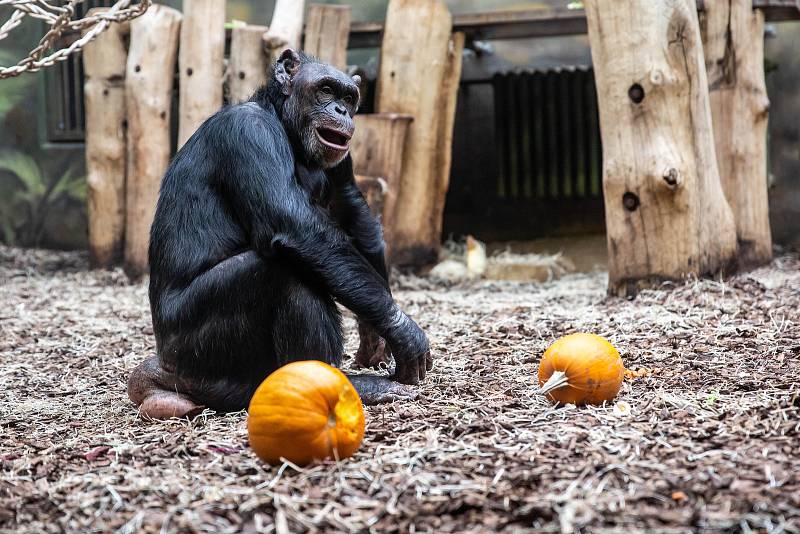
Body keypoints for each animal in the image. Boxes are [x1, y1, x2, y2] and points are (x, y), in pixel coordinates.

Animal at [129, 49, 434, 418]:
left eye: (349, 97)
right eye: (326, 90)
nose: (341, 111)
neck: (284, 125)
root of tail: (170, 370)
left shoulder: (344, 162)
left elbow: (353, 212)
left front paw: (376, 335)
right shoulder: (249, 133)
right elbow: (293, 226)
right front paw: (406, 334)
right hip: (194, 350)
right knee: (281, 273)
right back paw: (341, 384)